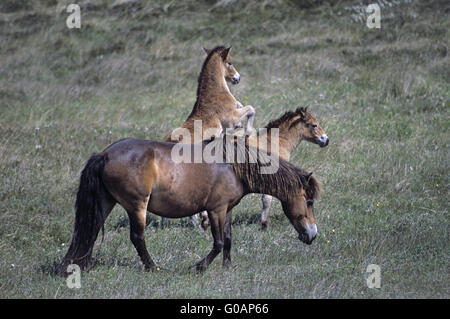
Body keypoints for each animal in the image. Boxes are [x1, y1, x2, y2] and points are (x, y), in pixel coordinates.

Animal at [59, 136, 320, 274]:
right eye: (308, 201)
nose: (313, 235)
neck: (233, 166)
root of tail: (104, 155)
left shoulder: (226, 210)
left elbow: (228, 240)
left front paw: (228, 266)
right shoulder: (216, 210)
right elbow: (218, 242)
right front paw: (200, 266)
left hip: (106, 201)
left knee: (90, 231)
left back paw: (83, 264)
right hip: (136, 206)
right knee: (137, 237)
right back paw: (153, 267)